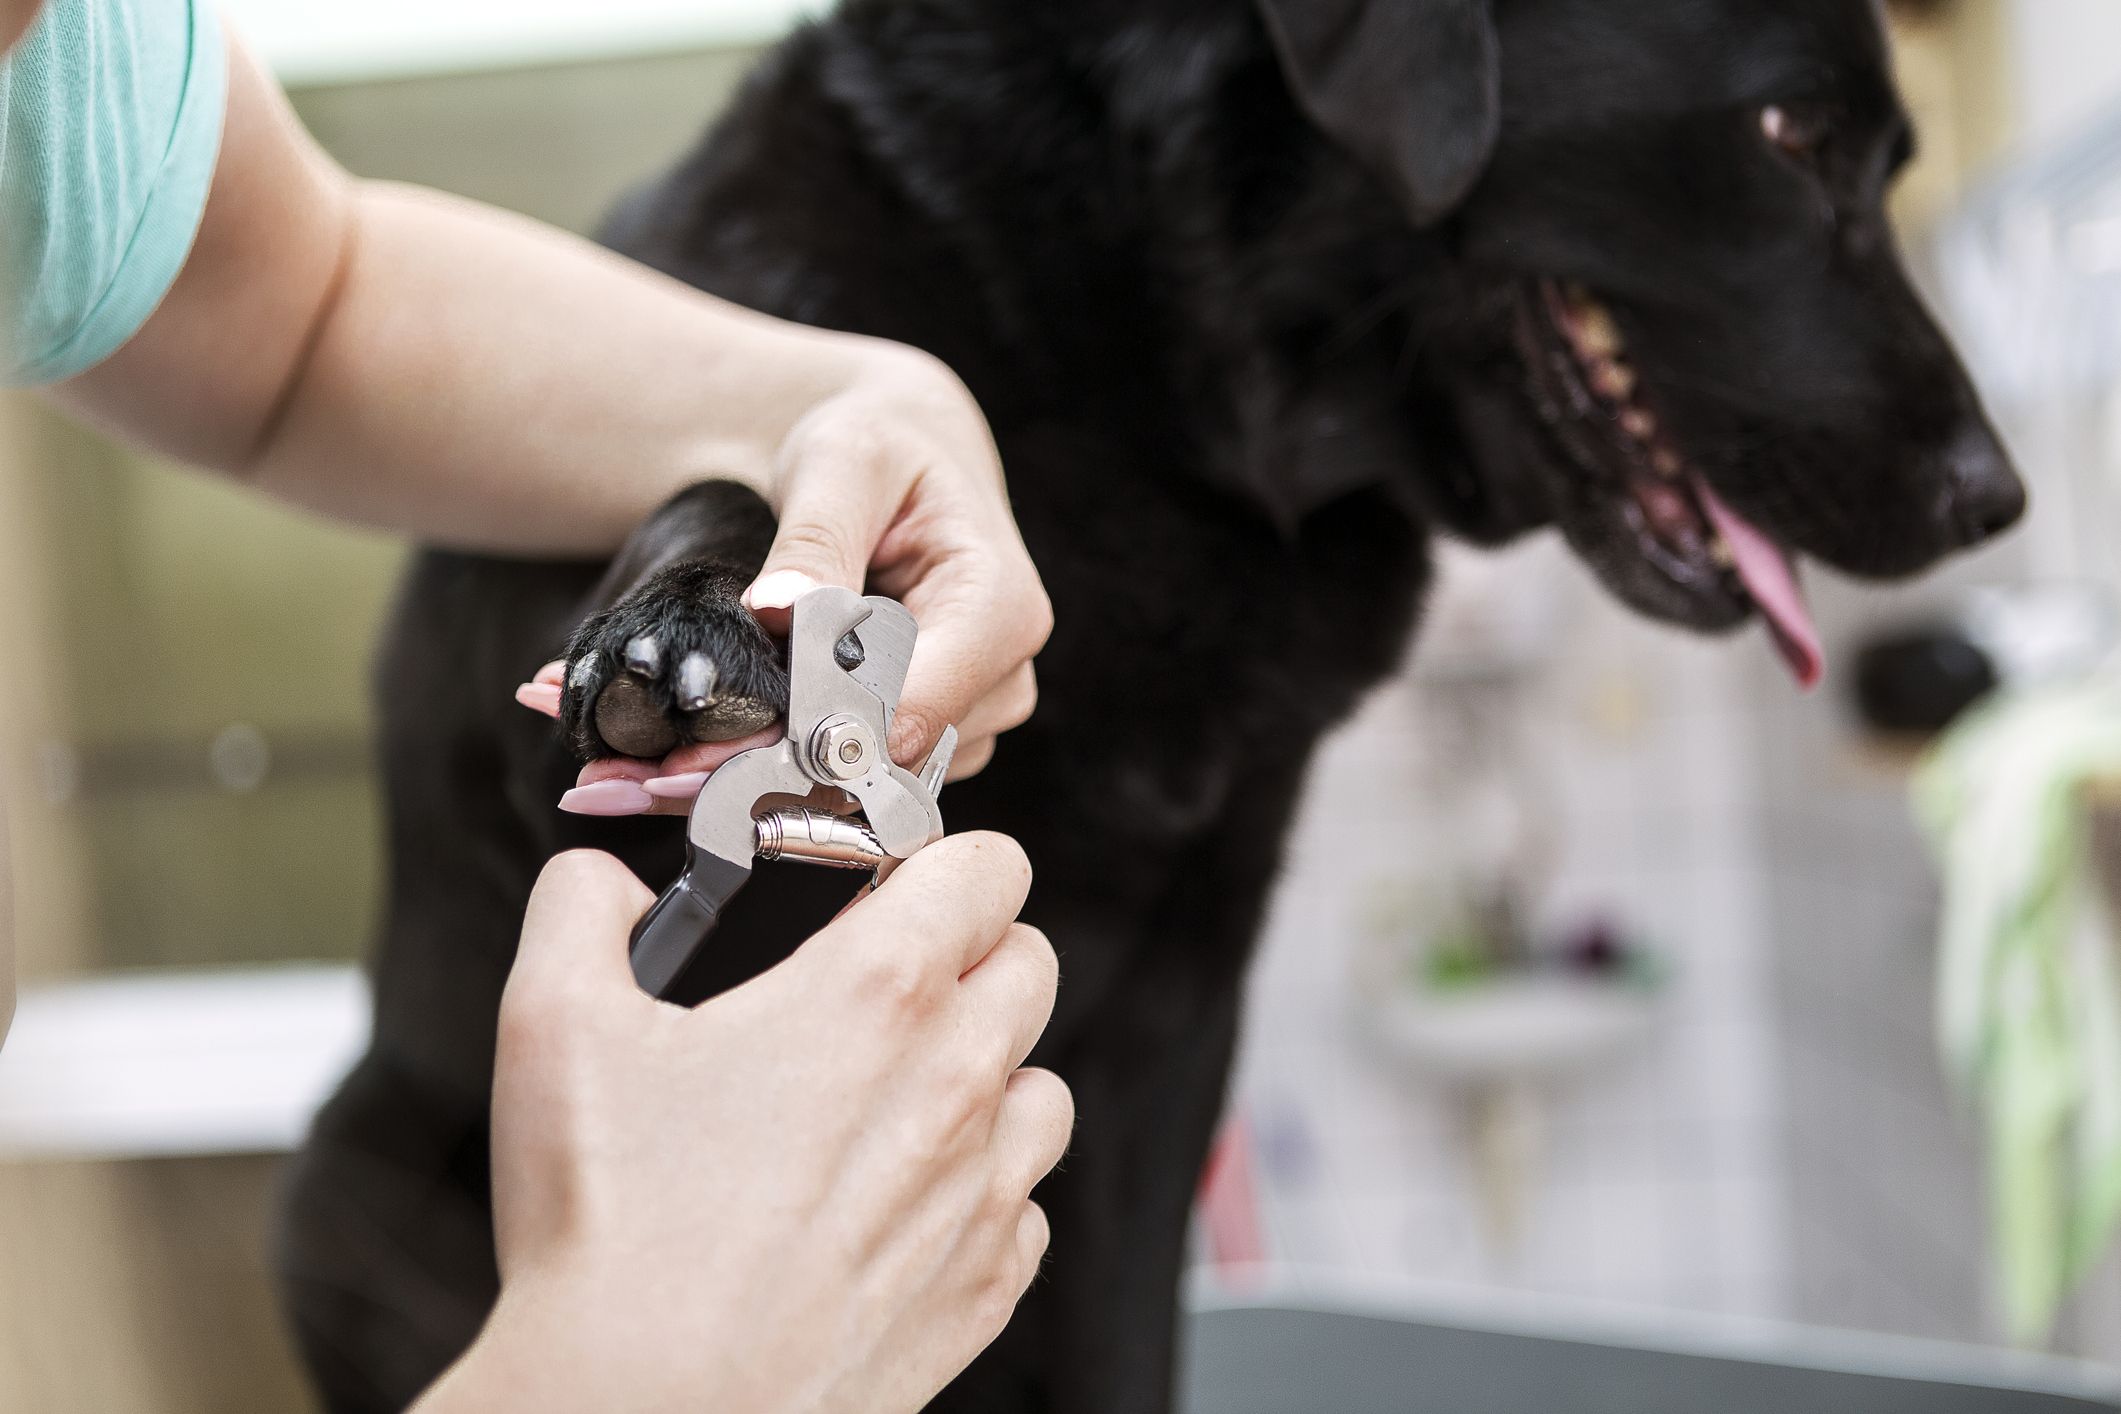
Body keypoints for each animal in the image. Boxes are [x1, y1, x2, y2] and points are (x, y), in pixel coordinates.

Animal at [277, 2, 2019, 1414]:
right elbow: (744, 472)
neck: (1150, 372)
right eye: (1790, 133)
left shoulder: (1181, 1002)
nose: (1992, 496)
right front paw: (686, 625)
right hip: (338, 1188)